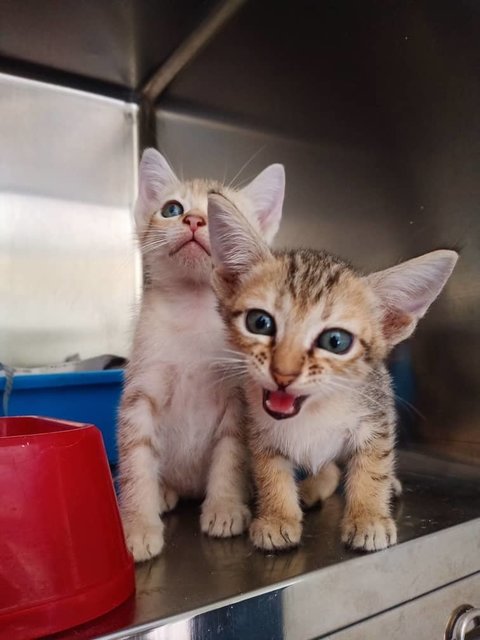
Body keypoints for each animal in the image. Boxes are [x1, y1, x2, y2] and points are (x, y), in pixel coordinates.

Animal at [118, 150, 284, 560]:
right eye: (171, 209)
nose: (193, 219)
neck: (191, 313)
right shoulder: (139, 397)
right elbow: (136, 460)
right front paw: (138, 525)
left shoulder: (238, 400)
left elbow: (230, 455)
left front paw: (224, 507)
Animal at [208, 192, 460, 552]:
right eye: (260, 322)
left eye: (335, 341)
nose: (283, 373)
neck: (313, 412)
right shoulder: (258, 428)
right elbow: (270, 469)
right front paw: (277, 516)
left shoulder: (376, 416)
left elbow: (373, 465)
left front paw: (368, 516)